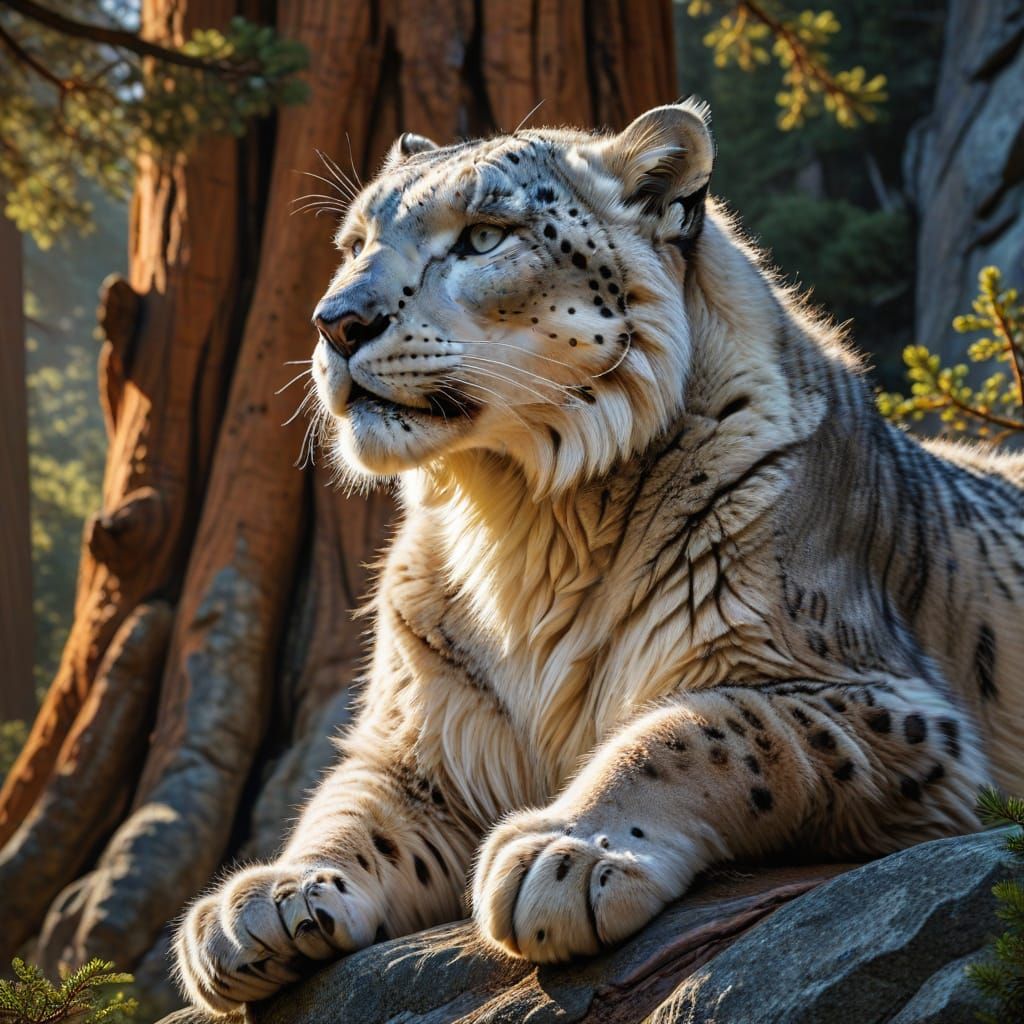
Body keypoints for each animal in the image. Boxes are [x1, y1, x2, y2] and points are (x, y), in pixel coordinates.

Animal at [174, 99, 1024, 1013]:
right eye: (354, 242)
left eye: (483, 236)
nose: (336, 322)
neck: (517, 523)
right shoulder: (427, 735)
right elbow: (351, 804)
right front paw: (267, 897)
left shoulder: (862, 697)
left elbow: (702, 726)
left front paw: (569, 850)